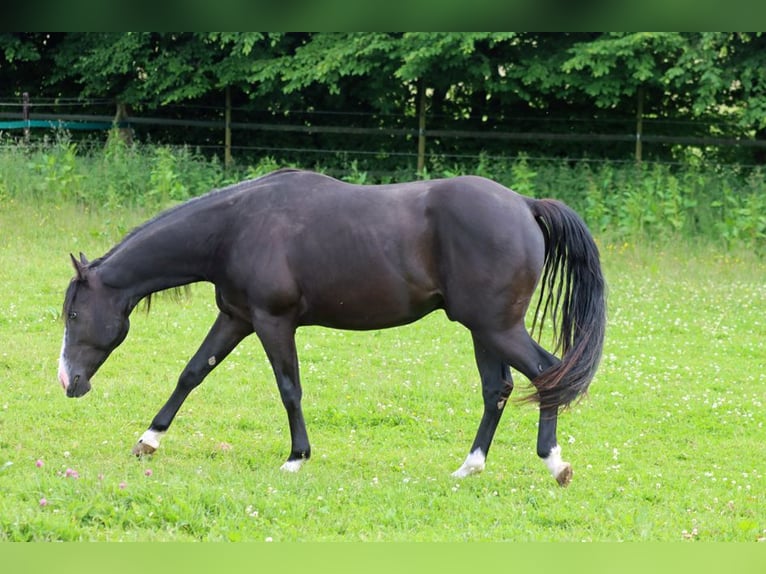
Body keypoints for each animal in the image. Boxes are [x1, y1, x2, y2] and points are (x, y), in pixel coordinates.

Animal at [58, 168, 605, 486]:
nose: (68, 380)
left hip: (496, 328)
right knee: (499, 388)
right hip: (484, 329)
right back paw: (470, 466)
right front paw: (149, 439)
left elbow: (289, 389)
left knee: (548, 373)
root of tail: (525, 206)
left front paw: (296, 458)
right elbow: (192, 372)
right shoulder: (236, 318)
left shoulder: (272, 323)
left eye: (75, 314)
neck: (236, 228)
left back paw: (555, 462)